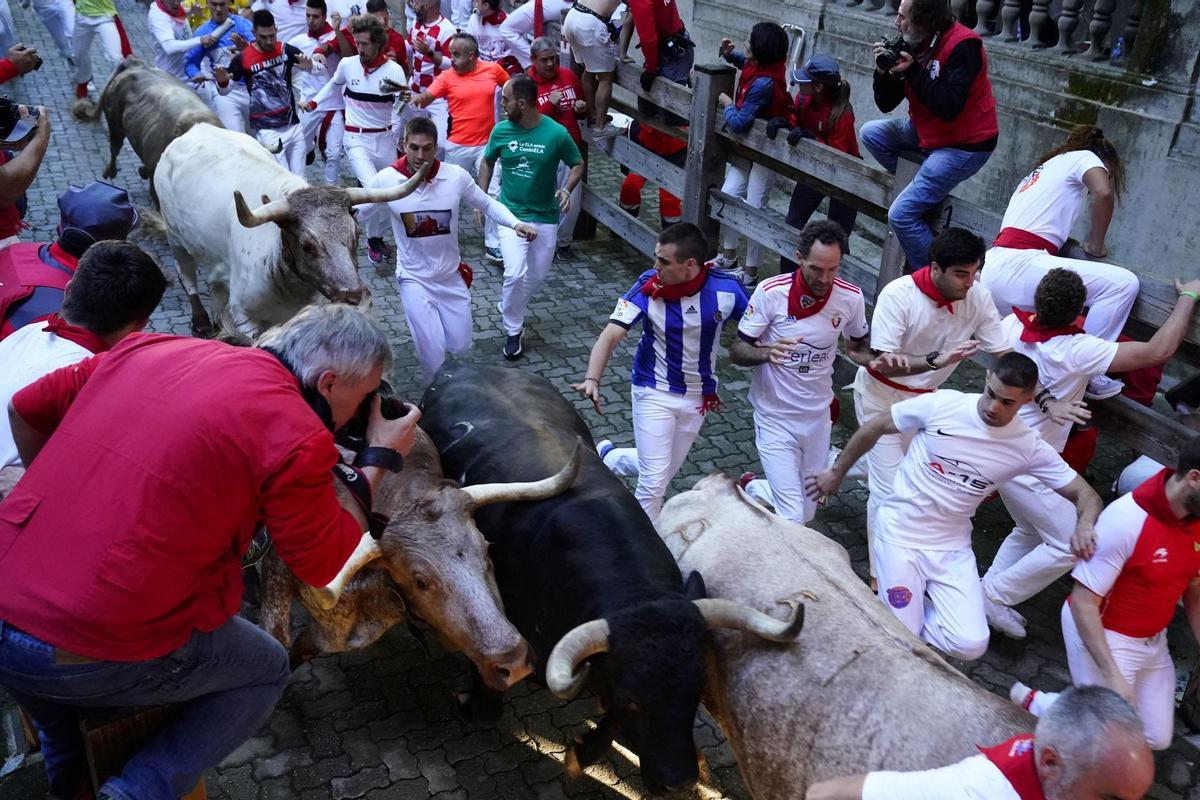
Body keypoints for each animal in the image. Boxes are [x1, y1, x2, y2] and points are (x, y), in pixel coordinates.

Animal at [154, 122, 424, 338]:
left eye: (356, 235)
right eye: (307, 246)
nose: (355, 297)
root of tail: (196, 128)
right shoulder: (244, 316)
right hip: (175, 238)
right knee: (186, 273)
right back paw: (200, 320)